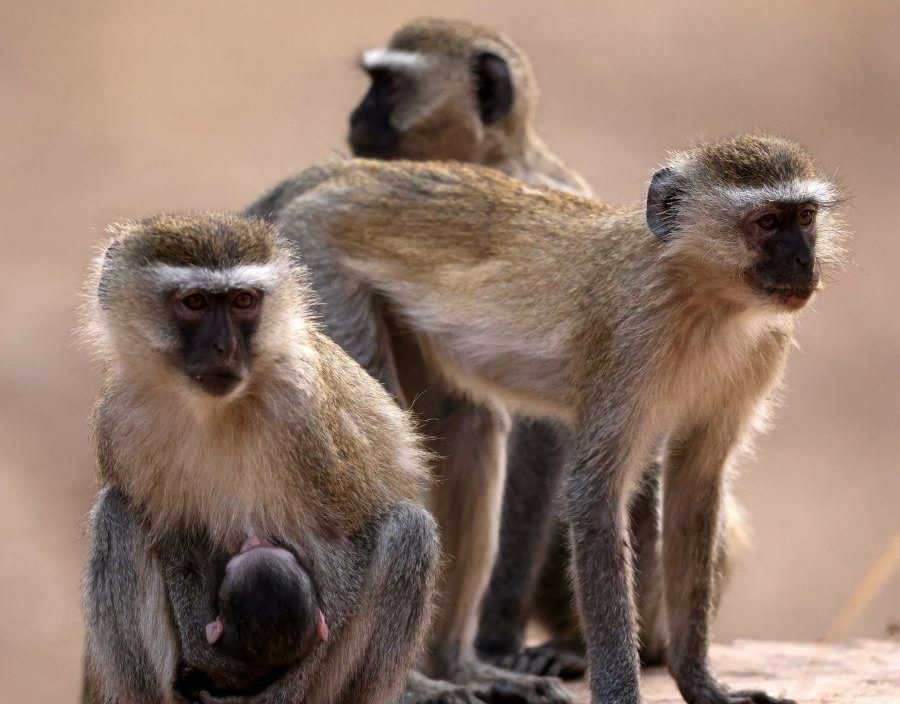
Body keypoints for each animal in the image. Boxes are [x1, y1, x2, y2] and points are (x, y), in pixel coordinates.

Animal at [79, 213, 439, 704]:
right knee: (118, 514)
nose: (225, 348)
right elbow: (177, 540)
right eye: (195, 302)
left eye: (243, 301)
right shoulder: (117, 421)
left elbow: (349, 547)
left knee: (409, 532)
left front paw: (286, 687)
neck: (212, 409)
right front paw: (208, 651)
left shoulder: (308, 420)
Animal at [256, 133, 845, 704]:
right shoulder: (632, 338)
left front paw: (701, 684)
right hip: (323, 270)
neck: (707, 300)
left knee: (466, 431)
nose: (804, 264)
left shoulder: (763, 349)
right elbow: (594, 494)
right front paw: (621, 690)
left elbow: (695, 487)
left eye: (804, 218)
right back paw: (419, 686)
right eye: (767, 222)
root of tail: (343, 175)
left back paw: (460, 668)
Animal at [340, 16, 745, 677]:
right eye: (371, 84)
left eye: (389, 86)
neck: (493, 160)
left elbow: (544, 431)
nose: (356, 117)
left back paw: (583, 647)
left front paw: (496, 638)